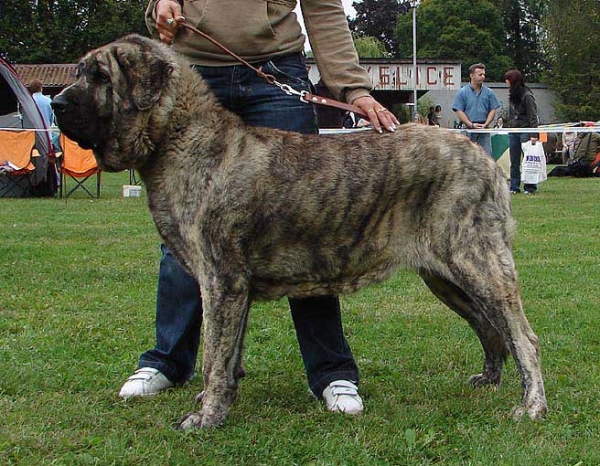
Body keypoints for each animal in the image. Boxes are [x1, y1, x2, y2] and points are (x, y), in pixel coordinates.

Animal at [52, 33, 548, 430]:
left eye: (99, 76)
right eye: (80, 73)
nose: (56, 104)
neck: (182, 137)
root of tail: (481, 156)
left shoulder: (220, 281)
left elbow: (213, 356)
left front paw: (206, 417)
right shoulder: (234, 289)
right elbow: (229, 355)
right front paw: (219, 401)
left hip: (478, 263)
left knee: (522, 336)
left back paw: (532, 406)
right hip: (445, 277)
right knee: (490, 328)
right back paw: (490, 378)